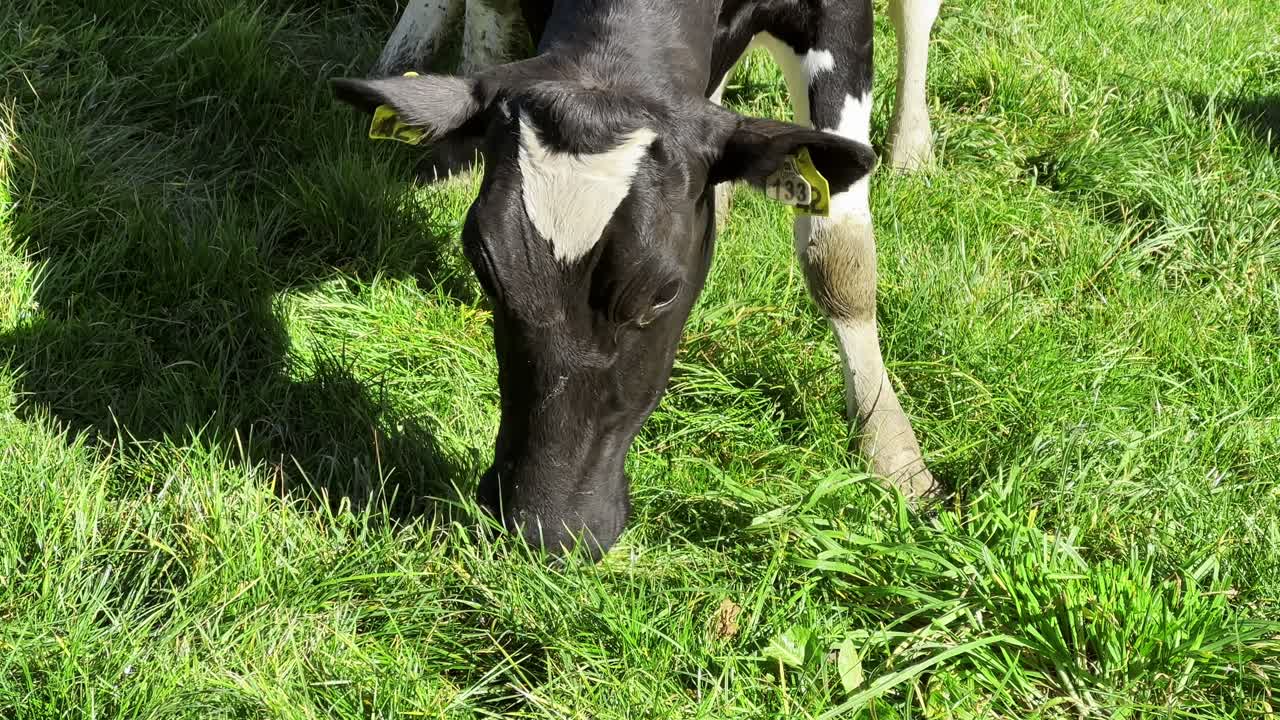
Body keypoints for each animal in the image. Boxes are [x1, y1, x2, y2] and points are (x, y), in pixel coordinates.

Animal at [331, 0, 943, 559]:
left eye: (662, 293)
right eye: (483, 263)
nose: (547, 528)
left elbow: (837, 256)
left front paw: (892, 452)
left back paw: (911, 145)